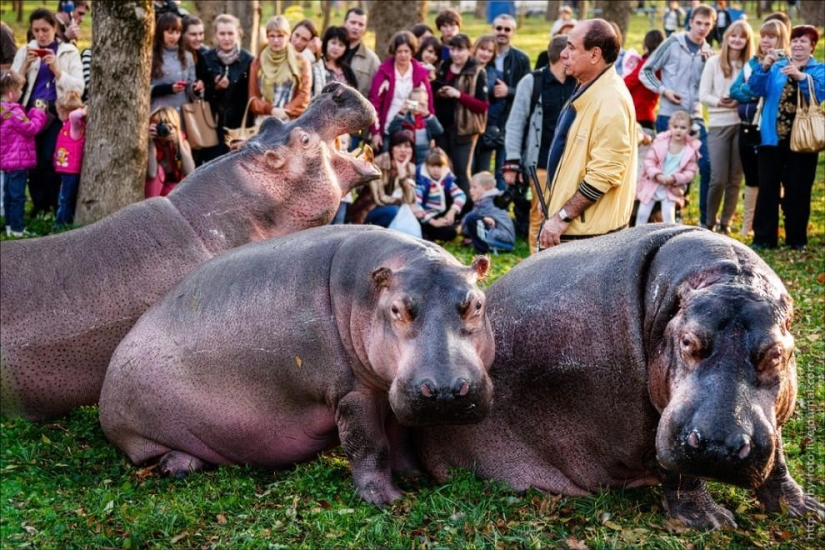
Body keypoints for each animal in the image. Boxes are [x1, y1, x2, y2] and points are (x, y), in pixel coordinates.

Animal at [100, 226, 492, 506]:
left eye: (477, 304)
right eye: (397, 309)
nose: (445, 390)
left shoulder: (392, 389)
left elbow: (400, 438)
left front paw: (413, 477)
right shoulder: (352, 393)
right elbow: (369, 444)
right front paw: (386, 500)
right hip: (140, 430)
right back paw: (178, 467)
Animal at [416, 225, 820, 532]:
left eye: (777, 353)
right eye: (688, 341)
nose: (719, 445)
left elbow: (777, 454)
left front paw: (804, 508)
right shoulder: (652, 418)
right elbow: (678, 470)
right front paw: (710, 520)